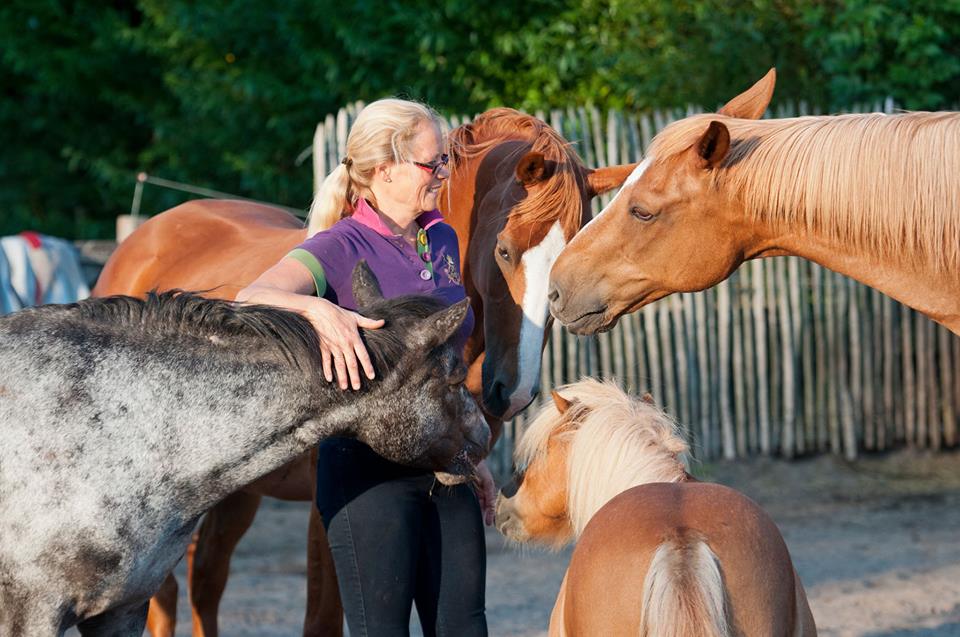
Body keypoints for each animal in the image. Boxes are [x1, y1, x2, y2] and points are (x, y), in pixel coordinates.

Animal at [91, 108, 637, 636]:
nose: (514, 392)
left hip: (238, 494)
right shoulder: (325, 510)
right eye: (504, 250)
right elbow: (323, 621)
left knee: (206, 580)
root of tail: (142, 239)